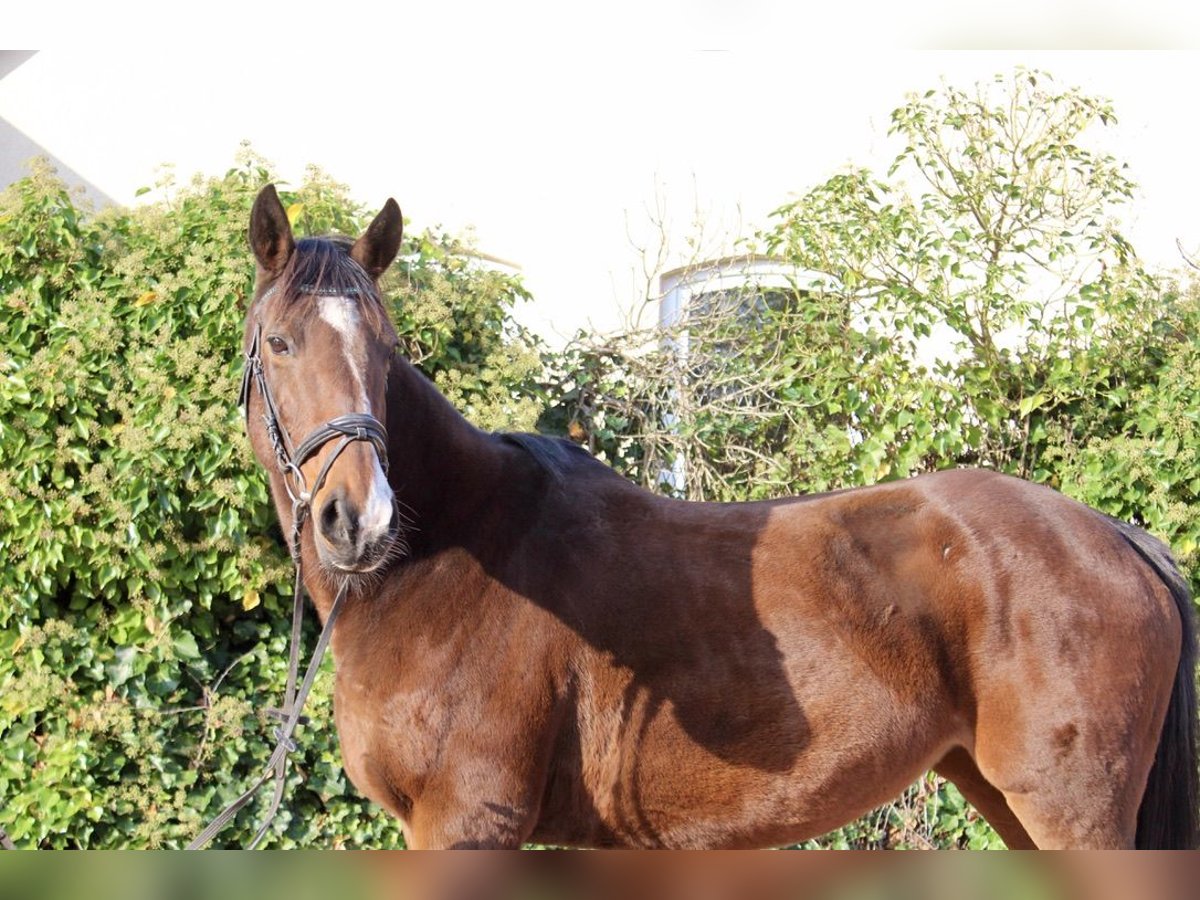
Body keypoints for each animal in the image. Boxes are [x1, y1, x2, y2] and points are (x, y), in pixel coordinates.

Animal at [238, 187, 1195, 849]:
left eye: (387, 348)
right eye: (279, 344)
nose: (358, 518)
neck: (449, 558)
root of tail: (1116, 536)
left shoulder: (469, 818)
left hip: (1069, 810)